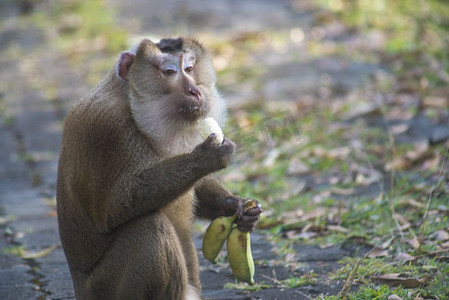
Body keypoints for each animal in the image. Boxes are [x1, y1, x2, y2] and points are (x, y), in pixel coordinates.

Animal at [57, 38, 262, 300]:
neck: (127, 100)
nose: (194, 91)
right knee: (149, 229)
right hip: (103, 289)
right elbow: (115, 208)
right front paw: (207, 157)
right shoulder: (109, 131)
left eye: (189, 68)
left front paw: (236, 206)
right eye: (169, 72)